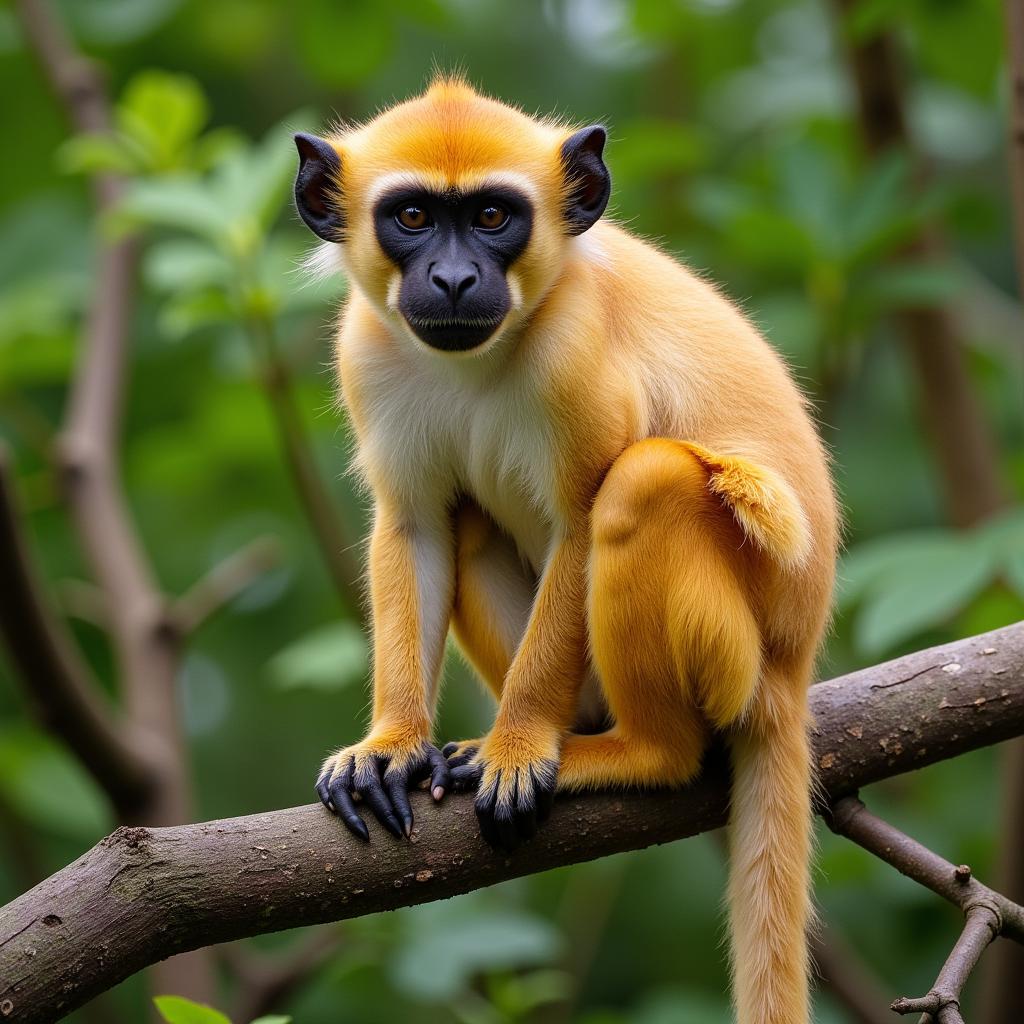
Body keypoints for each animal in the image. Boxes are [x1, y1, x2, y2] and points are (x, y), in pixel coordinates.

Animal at [292, 75, 835, 1024]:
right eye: (412, 217)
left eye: (493, 216)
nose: (455, 277)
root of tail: (792, 668)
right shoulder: (367, 352)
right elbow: (416, 523)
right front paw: (391, 745)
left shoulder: (574, 348)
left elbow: (584, 521)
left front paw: (518, 748)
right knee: (471, 516)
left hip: (738, 658)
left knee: (645, 484)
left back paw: (635, 752)